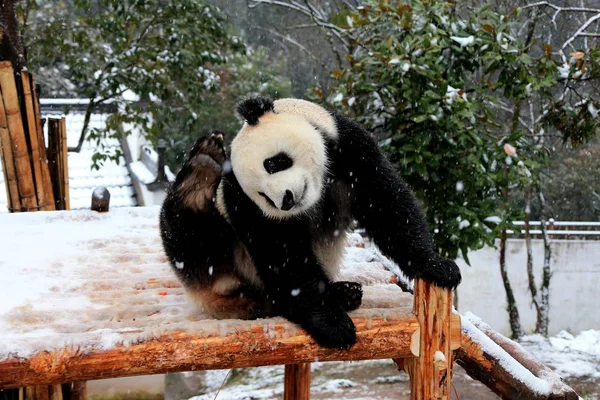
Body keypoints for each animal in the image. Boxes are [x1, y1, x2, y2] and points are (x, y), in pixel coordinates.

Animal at [158, 96, 460, 346]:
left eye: (273, 163)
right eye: (262, 195)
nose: (286, 200)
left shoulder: (348, 147)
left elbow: (386, 204)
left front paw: (437, 266)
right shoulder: (243, 204)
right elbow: (284, 256)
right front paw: (334, 327)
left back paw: (345, 293)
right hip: (223, 254)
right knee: (191, 235)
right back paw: (200, 173)